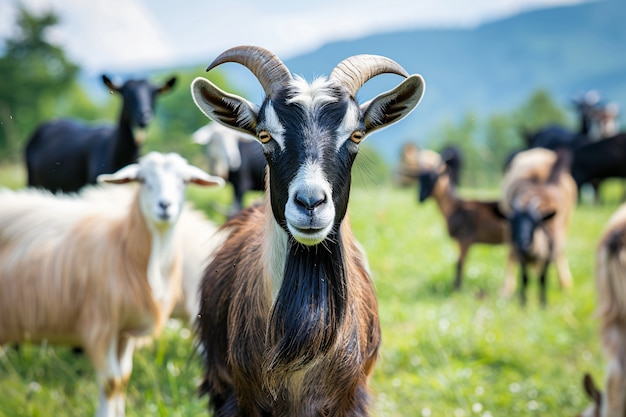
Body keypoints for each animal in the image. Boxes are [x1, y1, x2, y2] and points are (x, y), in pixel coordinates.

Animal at [0, 152, 222, 416]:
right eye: (143, 180)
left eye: (184, 181)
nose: (165, 206)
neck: (125, 247)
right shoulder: (101, 325)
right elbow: (110, 382)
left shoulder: (124, 331)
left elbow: (123, 379)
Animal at [494, 148, 576, 304]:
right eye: (512, 222)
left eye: (536, 223)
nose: (524, 243)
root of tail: (538, 151)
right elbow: (515, 260)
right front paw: (508, 291)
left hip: (566, 221)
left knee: (559, 252)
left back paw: (565, 283)